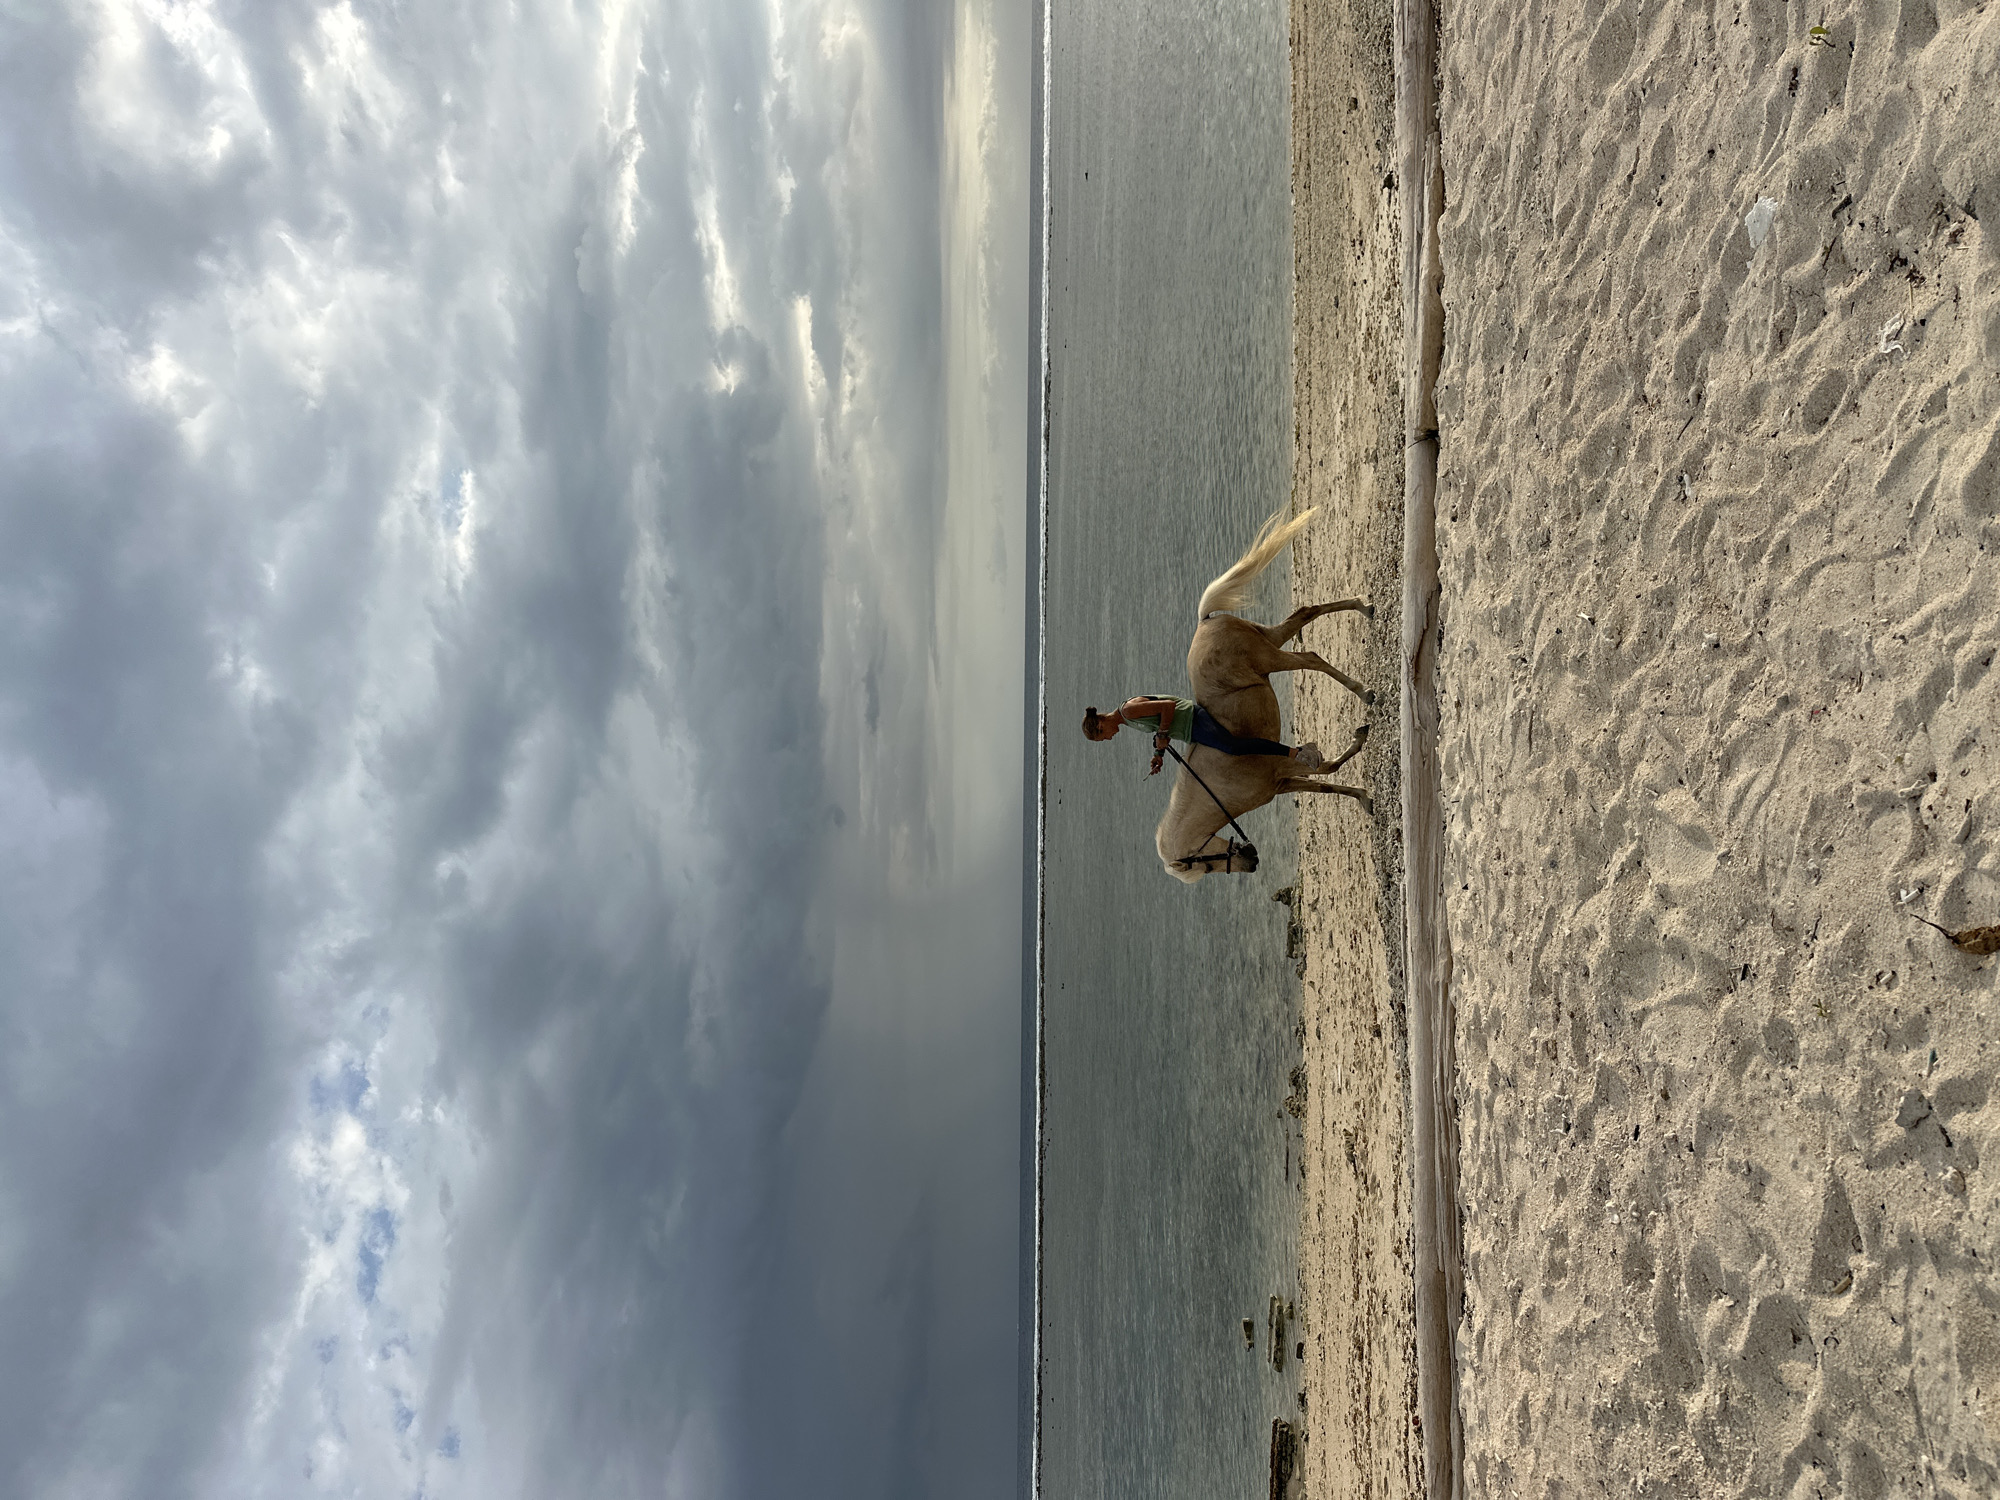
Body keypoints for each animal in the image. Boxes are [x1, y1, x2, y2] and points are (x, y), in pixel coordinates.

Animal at [1155, 507, 1375, 882]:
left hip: (1271, 657)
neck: (1218, 786)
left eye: (1203, 862)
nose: (1252, 862)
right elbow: (1328, 783)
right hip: (1270, 640)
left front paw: (1359, 741)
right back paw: (1364, 606)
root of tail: (1205, 621)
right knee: (1306, 613)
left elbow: (1328, 768)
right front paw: (1363, 797)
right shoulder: (1282, 782)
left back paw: (1365, 692)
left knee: (1311, 658)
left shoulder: (1284, 765)